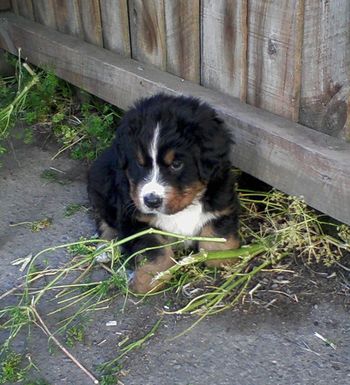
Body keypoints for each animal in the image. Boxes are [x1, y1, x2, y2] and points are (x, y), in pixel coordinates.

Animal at [87, 93, 241, 292]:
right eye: (139, 163)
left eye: (176, 164)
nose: (151, 201)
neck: (184, 209)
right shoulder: (136, 218)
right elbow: (156, 252)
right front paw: (148, 280)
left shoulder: (222, 202)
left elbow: (216, 235)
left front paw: (224, 258)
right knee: (104, 221)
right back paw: (105, 250)